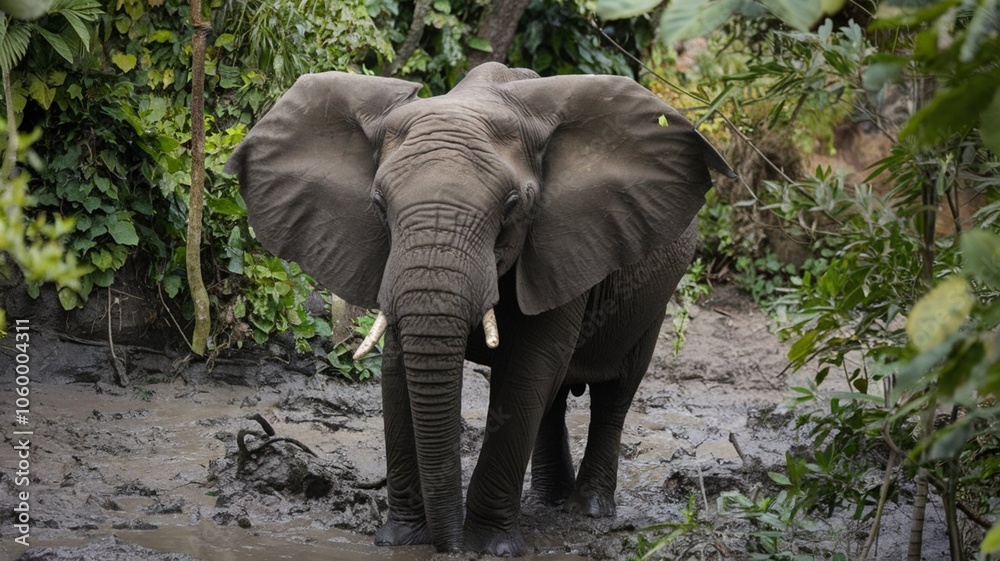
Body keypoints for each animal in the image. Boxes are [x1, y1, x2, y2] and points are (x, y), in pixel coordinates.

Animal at [225, 62, 734, 556]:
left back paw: (588, 510)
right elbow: (398, 372)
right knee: (555, 399)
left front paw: (488, 547)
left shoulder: (562, 244)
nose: (446, 548)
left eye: (511, 207)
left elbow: (529, 370)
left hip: (654, 298)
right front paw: (401, 539)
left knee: (615, 393)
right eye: (378, 204)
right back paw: (547, 503)